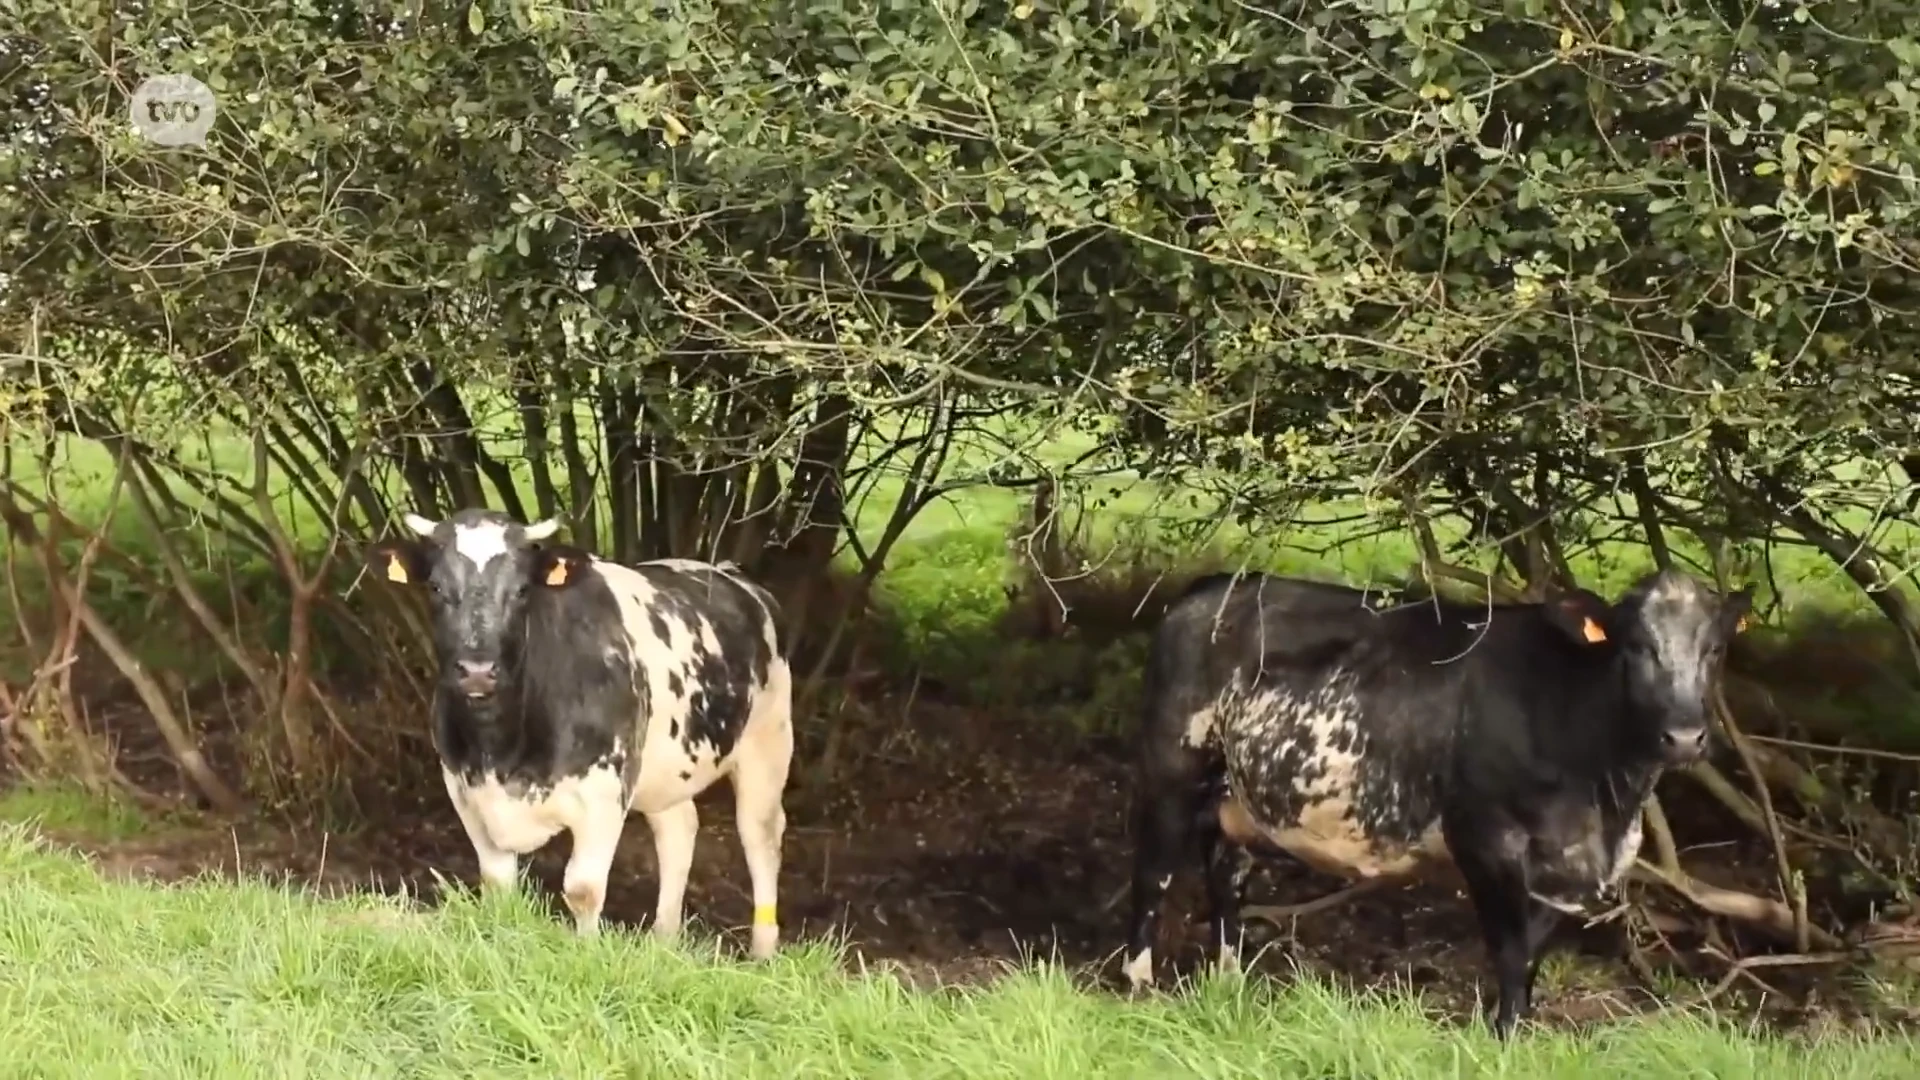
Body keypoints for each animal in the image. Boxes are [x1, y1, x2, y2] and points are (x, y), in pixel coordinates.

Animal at [366, 507, 794, 953]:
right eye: (435, 586)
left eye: (523, 589)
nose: (478, 670)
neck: (501, 748)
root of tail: (735, 578)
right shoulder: (464, 791)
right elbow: (497, 884)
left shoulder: (604, 792)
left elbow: (583, 889)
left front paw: (585, 955)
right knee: (678, 830)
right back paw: (663, 941)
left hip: (769, 740)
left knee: (761, 834)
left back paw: (762, 952)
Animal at [1121, 568, 1758, 1030]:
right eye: (1635, 646)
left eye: (1715, 650)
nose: (1684, 737)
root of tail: (1212, 587)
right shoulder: (1484, 837)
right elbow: (1509, 950)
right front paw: (1503, 1037)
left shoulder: (1567, 870)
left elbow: (1532, 952)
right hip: (1171, 770)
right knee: (1152, 873)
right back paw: (1138, 984)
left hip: (1237, 797)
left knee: (1225, 876)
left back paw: (1229, 983)